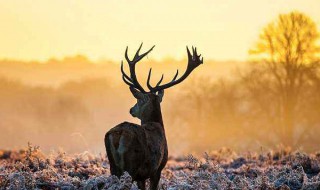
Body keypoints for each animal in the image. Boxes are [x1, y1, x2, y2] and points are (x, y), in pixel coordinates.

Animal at [105, 43, 204, 189]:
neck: (157, 124)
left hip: (113, 167)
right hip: (132, 166)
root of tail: (118, 134)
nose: (131, 110)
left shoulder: (143, 176)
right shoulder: (157, 169)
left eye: (138, 100)